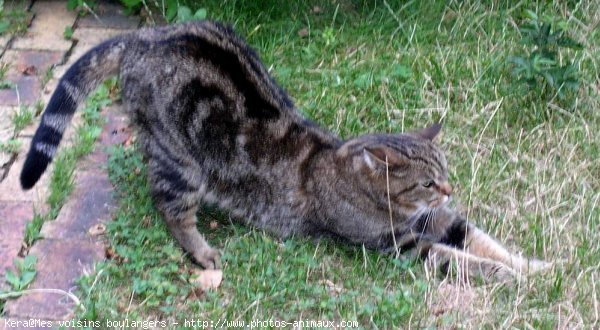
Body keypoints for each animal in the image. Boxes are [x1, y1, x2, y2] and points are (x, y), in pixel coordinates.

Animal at [21, 20, 548, 282]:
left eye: (445, 172)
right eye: (427, 181)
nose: (450, 189)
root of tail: (144, 34)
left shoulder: (441, 221)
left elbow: (485, 240)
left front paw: (531, 266)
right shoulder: (401, 246)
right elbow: (462, 261)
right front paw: (506, 277)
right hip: (181, 160)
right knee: (171, 207)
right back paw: (202, 251)